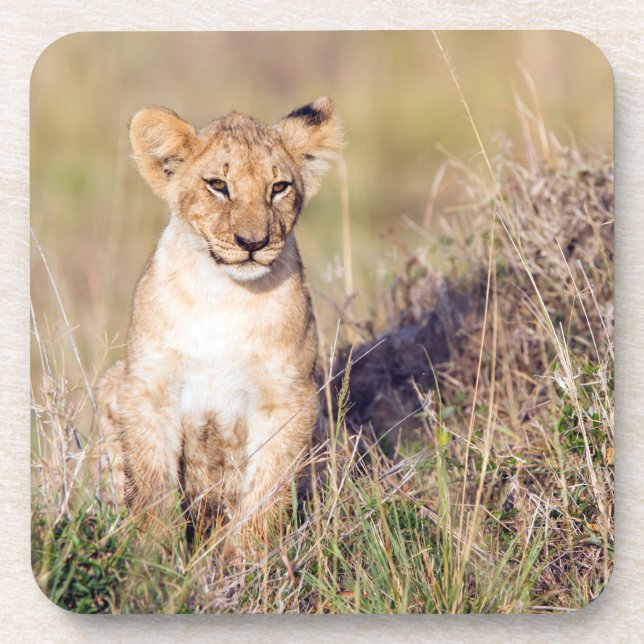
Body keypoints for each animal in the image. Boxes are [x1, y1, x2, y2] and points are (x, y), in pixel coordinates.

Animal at [95, 97, 344, 551]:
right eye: (218, 185)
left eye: (278, 187)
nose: (253, 243)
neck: (225, 295)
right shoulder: (148, 389)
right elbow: (152, 487)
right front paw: (155, 558)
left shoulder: (288, 399)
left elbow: (266, 492)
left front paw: (247, 560)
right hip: (112, 381)